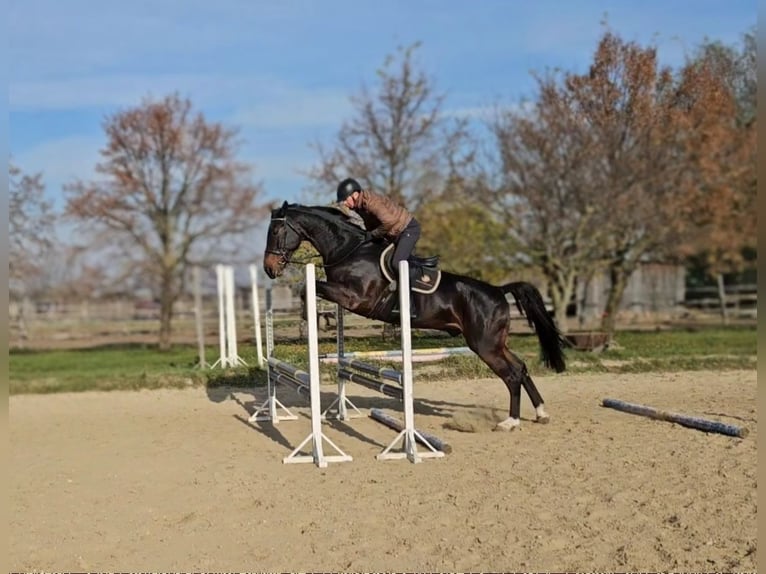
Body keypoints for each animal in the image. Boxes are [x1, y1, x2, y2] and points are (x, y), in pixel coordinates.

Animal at [264, 202, 568, 432]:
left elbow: (310, 287)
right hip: (495, 343)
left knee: (512, 374)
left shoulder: (354, 298)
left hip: (485, 345)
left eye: (276, 230)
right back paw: (541, 413)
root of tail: (498, 290)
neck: (349, 250)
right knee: (521, 368)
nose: (269, 269)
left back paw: (510, 422)